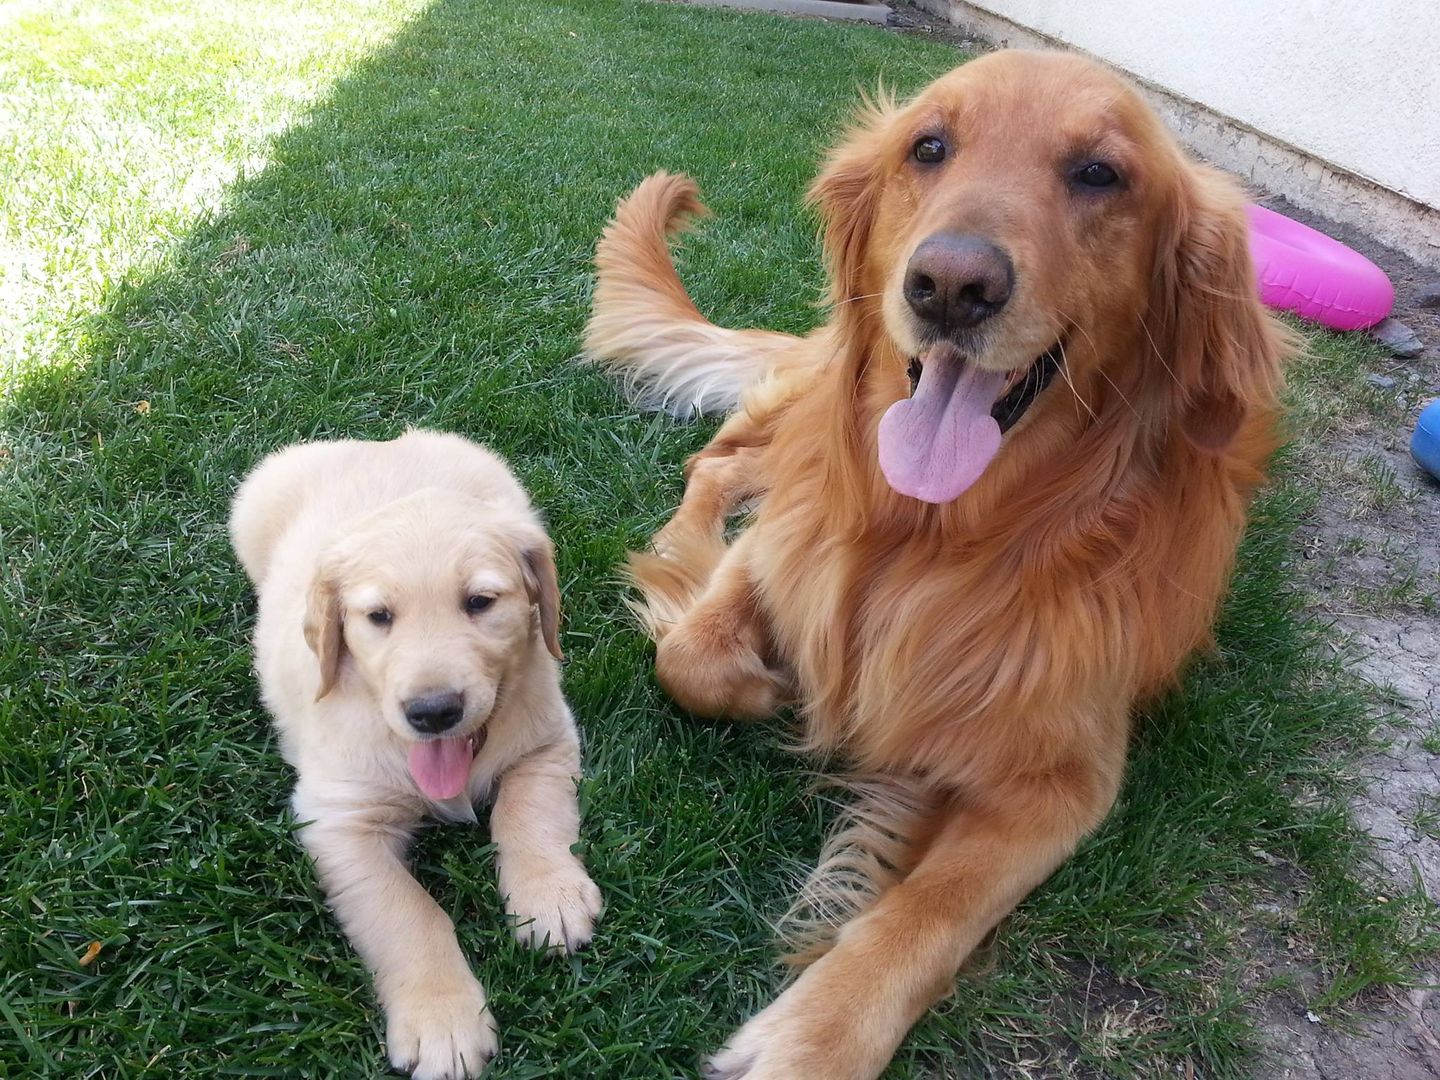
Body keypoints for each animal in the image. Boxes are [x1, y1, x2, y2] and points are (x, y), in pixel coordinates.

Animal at [231, 429, 601, 1080]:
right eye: (378, 617)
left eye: (480, 602)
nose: (432, 712)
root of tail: (376, 440)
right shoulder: (339, 820)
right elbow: (407, 912)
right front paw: (442, 1022)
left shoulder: (546, 741)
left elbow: (528, 815)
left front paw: (550, 898)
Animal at [581, 48, 1284, 1080]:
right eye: (928, 147)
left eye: (1099, 174)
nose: (952, 285)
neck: (931, 534)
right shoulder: (788, 547)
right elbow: (691, 659)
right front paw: (761, 671)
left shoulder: (1067, 779)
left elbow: (932, 909)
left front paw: (816, 1037)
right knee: (717, 461)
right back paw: (683, 544)